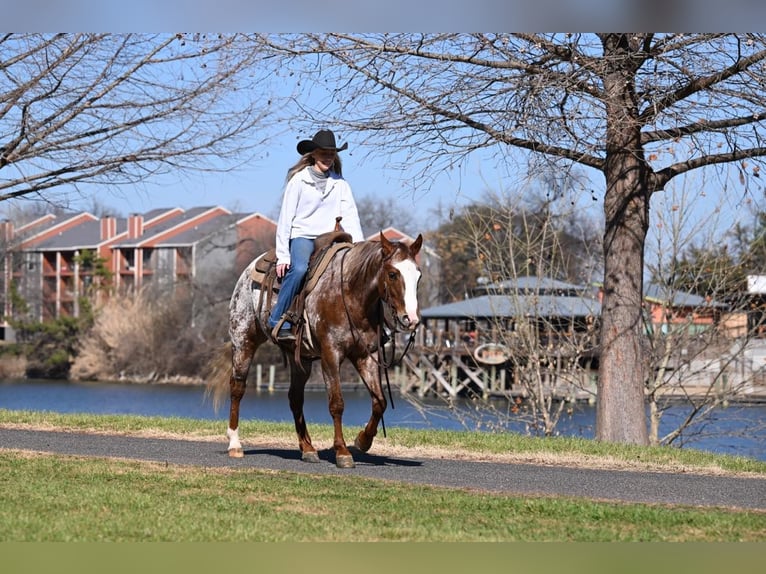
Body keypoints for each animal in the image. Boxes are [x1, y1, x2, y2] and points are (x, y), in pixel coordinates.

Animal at [208, 232, 426, 470]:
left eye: (418, 275)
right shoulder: (331, 355)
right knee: (238, 387)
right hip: (243, 341)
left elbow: (380, 402)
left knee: (295, 397)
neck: (350, 294)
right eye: (393, 274)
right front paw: (342, 452)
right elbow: (336, 403)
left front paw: (363, 441)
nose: (411, 319)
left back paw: (307, 448)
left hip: (300, 359)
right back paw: (235, 444)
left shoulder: (366, 356)